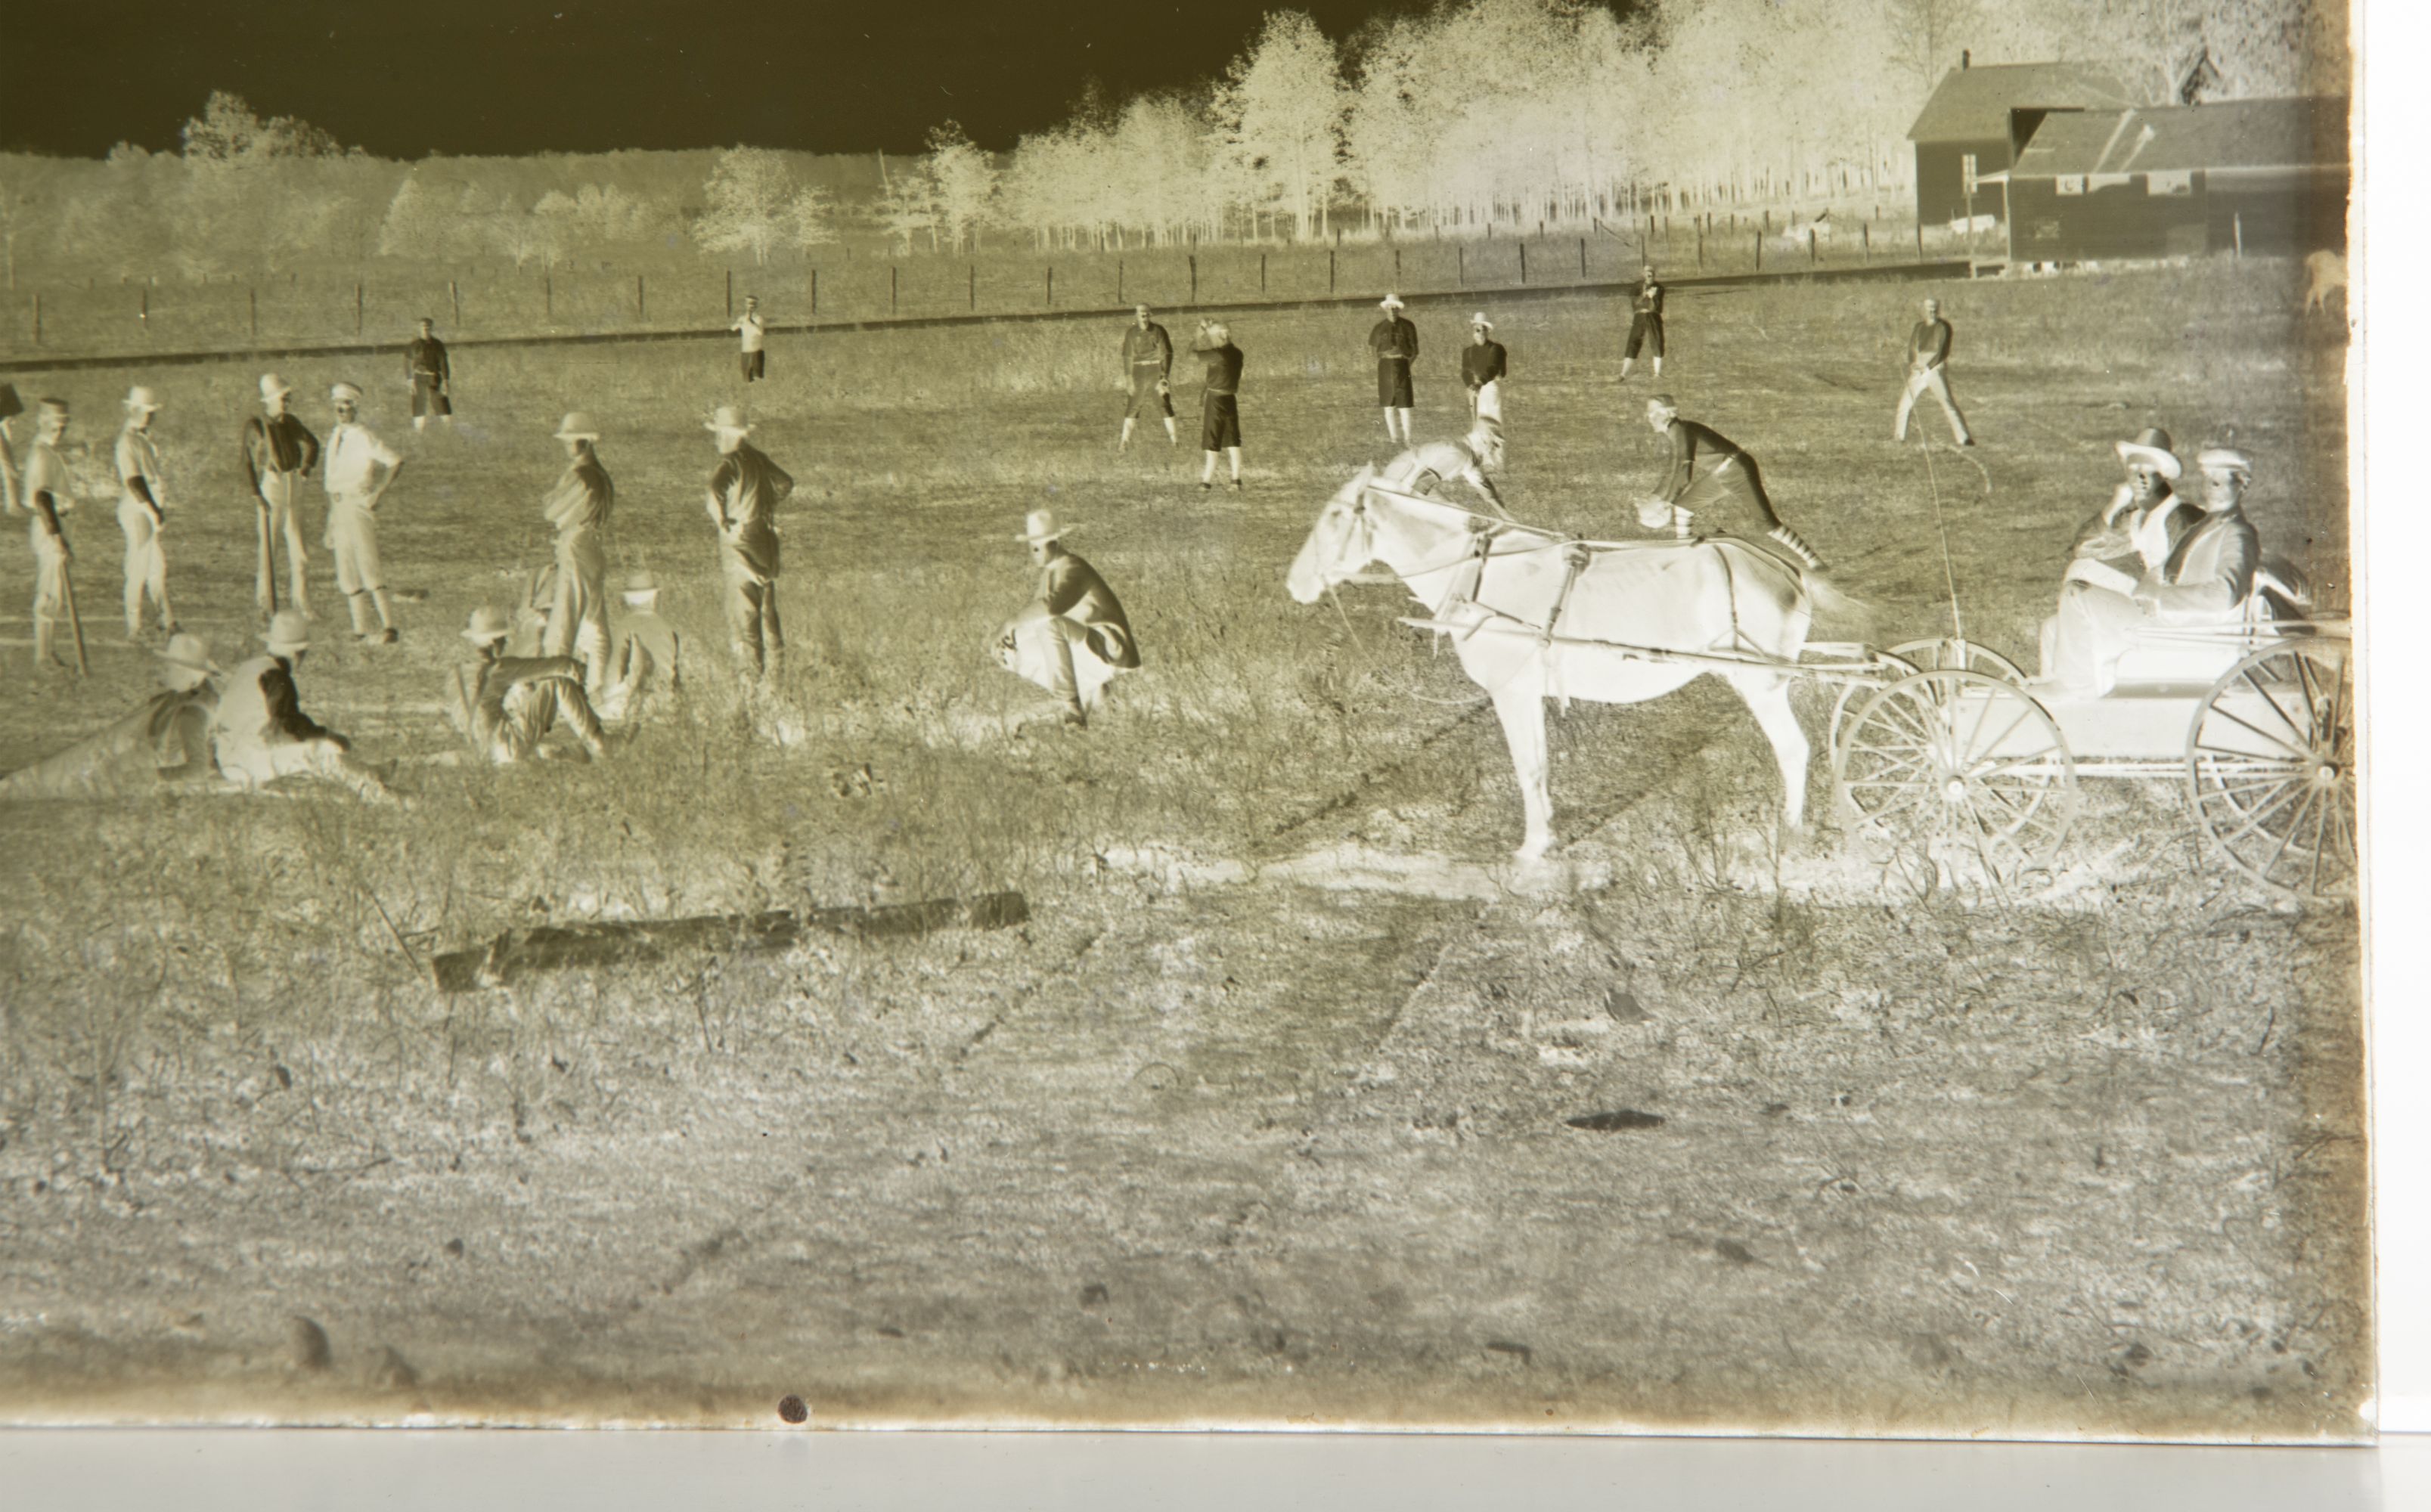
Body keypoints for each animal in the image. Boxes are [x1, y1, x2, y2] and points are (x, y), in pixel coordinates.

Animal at [1283, 479, 1818, 870]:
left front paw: (1532, 846)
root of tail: (1785, 572)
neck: (1482, 574)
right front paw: (1546, 834)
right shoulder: (1527, 693)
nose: (1294, 582)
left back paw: (1790, 835)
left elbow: (1528, 768)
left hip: (1763, 686)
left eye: (1335, 517)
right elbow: (1539, 765)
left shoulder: (1510, 693)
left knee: (1793, 750)